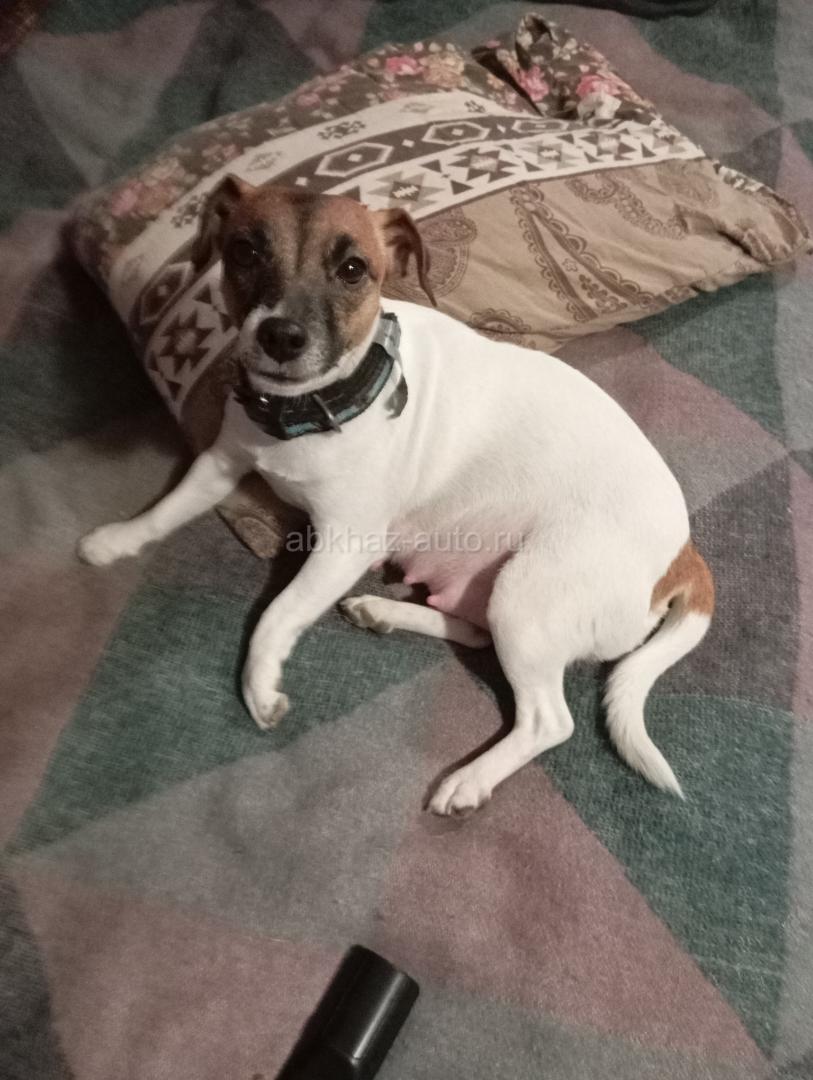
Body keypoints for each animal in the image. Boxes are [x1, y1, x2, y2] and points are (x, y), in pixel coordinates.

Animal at [78, 177, 714, 815]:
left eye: (353, 268)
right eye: (244, 252)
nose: (281, 335)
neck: (303, 412)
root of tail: (684, 555)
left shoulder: (343, 546)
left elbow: (276, 613)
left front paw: (259, 685)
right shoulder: (221, 461)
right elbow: (164, 511)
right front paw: (112, 542)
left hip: (527, 594)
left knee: (548, 720)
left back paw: (470, 780)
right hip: (498, 597)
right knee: (476, 633)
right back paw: (382, 611)